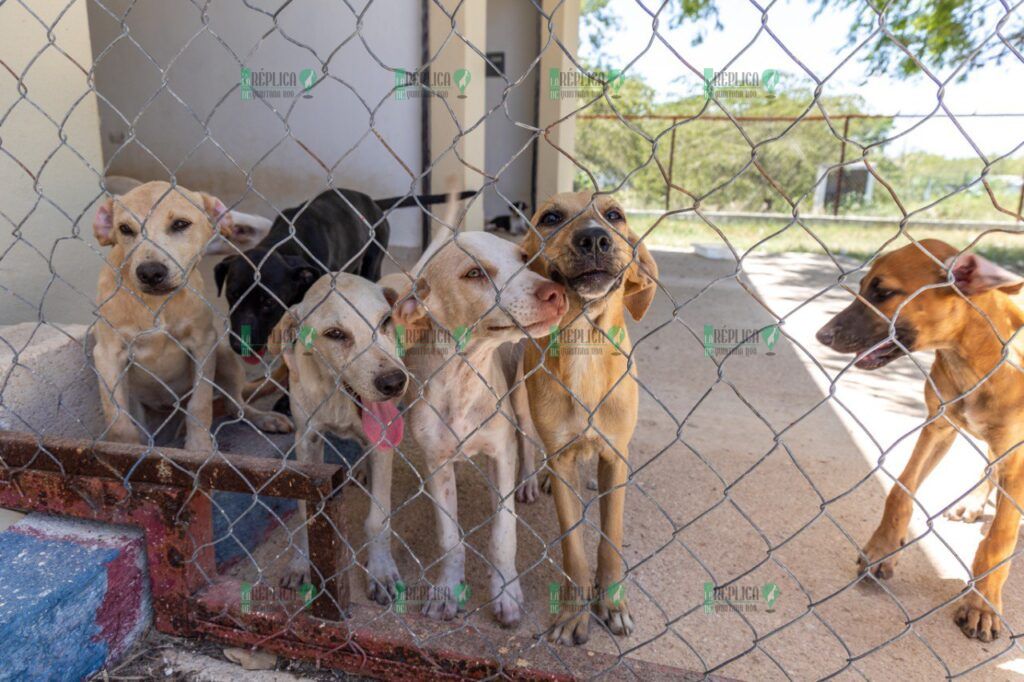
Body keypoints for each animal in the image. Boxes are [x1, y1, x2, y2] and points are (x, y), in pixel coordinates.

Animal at [218, 186, 473, 356]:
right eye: (231, 295)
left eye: (269, 303)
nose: (237, 346)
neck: (286, 244)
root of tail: (372, 201)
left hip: (373, 260)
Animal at [270, 272, 409, 593]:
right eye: (335, 334)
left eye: (385, 321)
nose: (394, 382)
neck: (338, 398)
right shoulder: (307, 439)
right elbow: (303, 510)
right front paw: (301, 563)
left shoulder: (382, 442)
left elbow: (378, 518)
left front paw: (381, 570)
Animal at [520, 191, 655, 643]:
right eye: (551, 217)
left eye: (614, 215)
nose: (594, 238)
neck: (583, 347)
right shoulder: (562, 459)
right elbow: (573, 547)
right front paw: (573, 614)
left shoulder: (614, 454)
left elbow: (609, 539)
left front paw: (612, 604)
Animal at [815, 238, 1024, 643]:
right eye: (863, 287)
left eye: (883, 293)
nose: (822, 335)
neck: (977, 356)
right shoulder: (938, 424)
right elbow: (900, 489)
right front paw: (883, 547)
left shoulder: (1016, 456)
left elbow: (1000, 537)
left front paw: (983, 602)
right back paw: (972, 503)